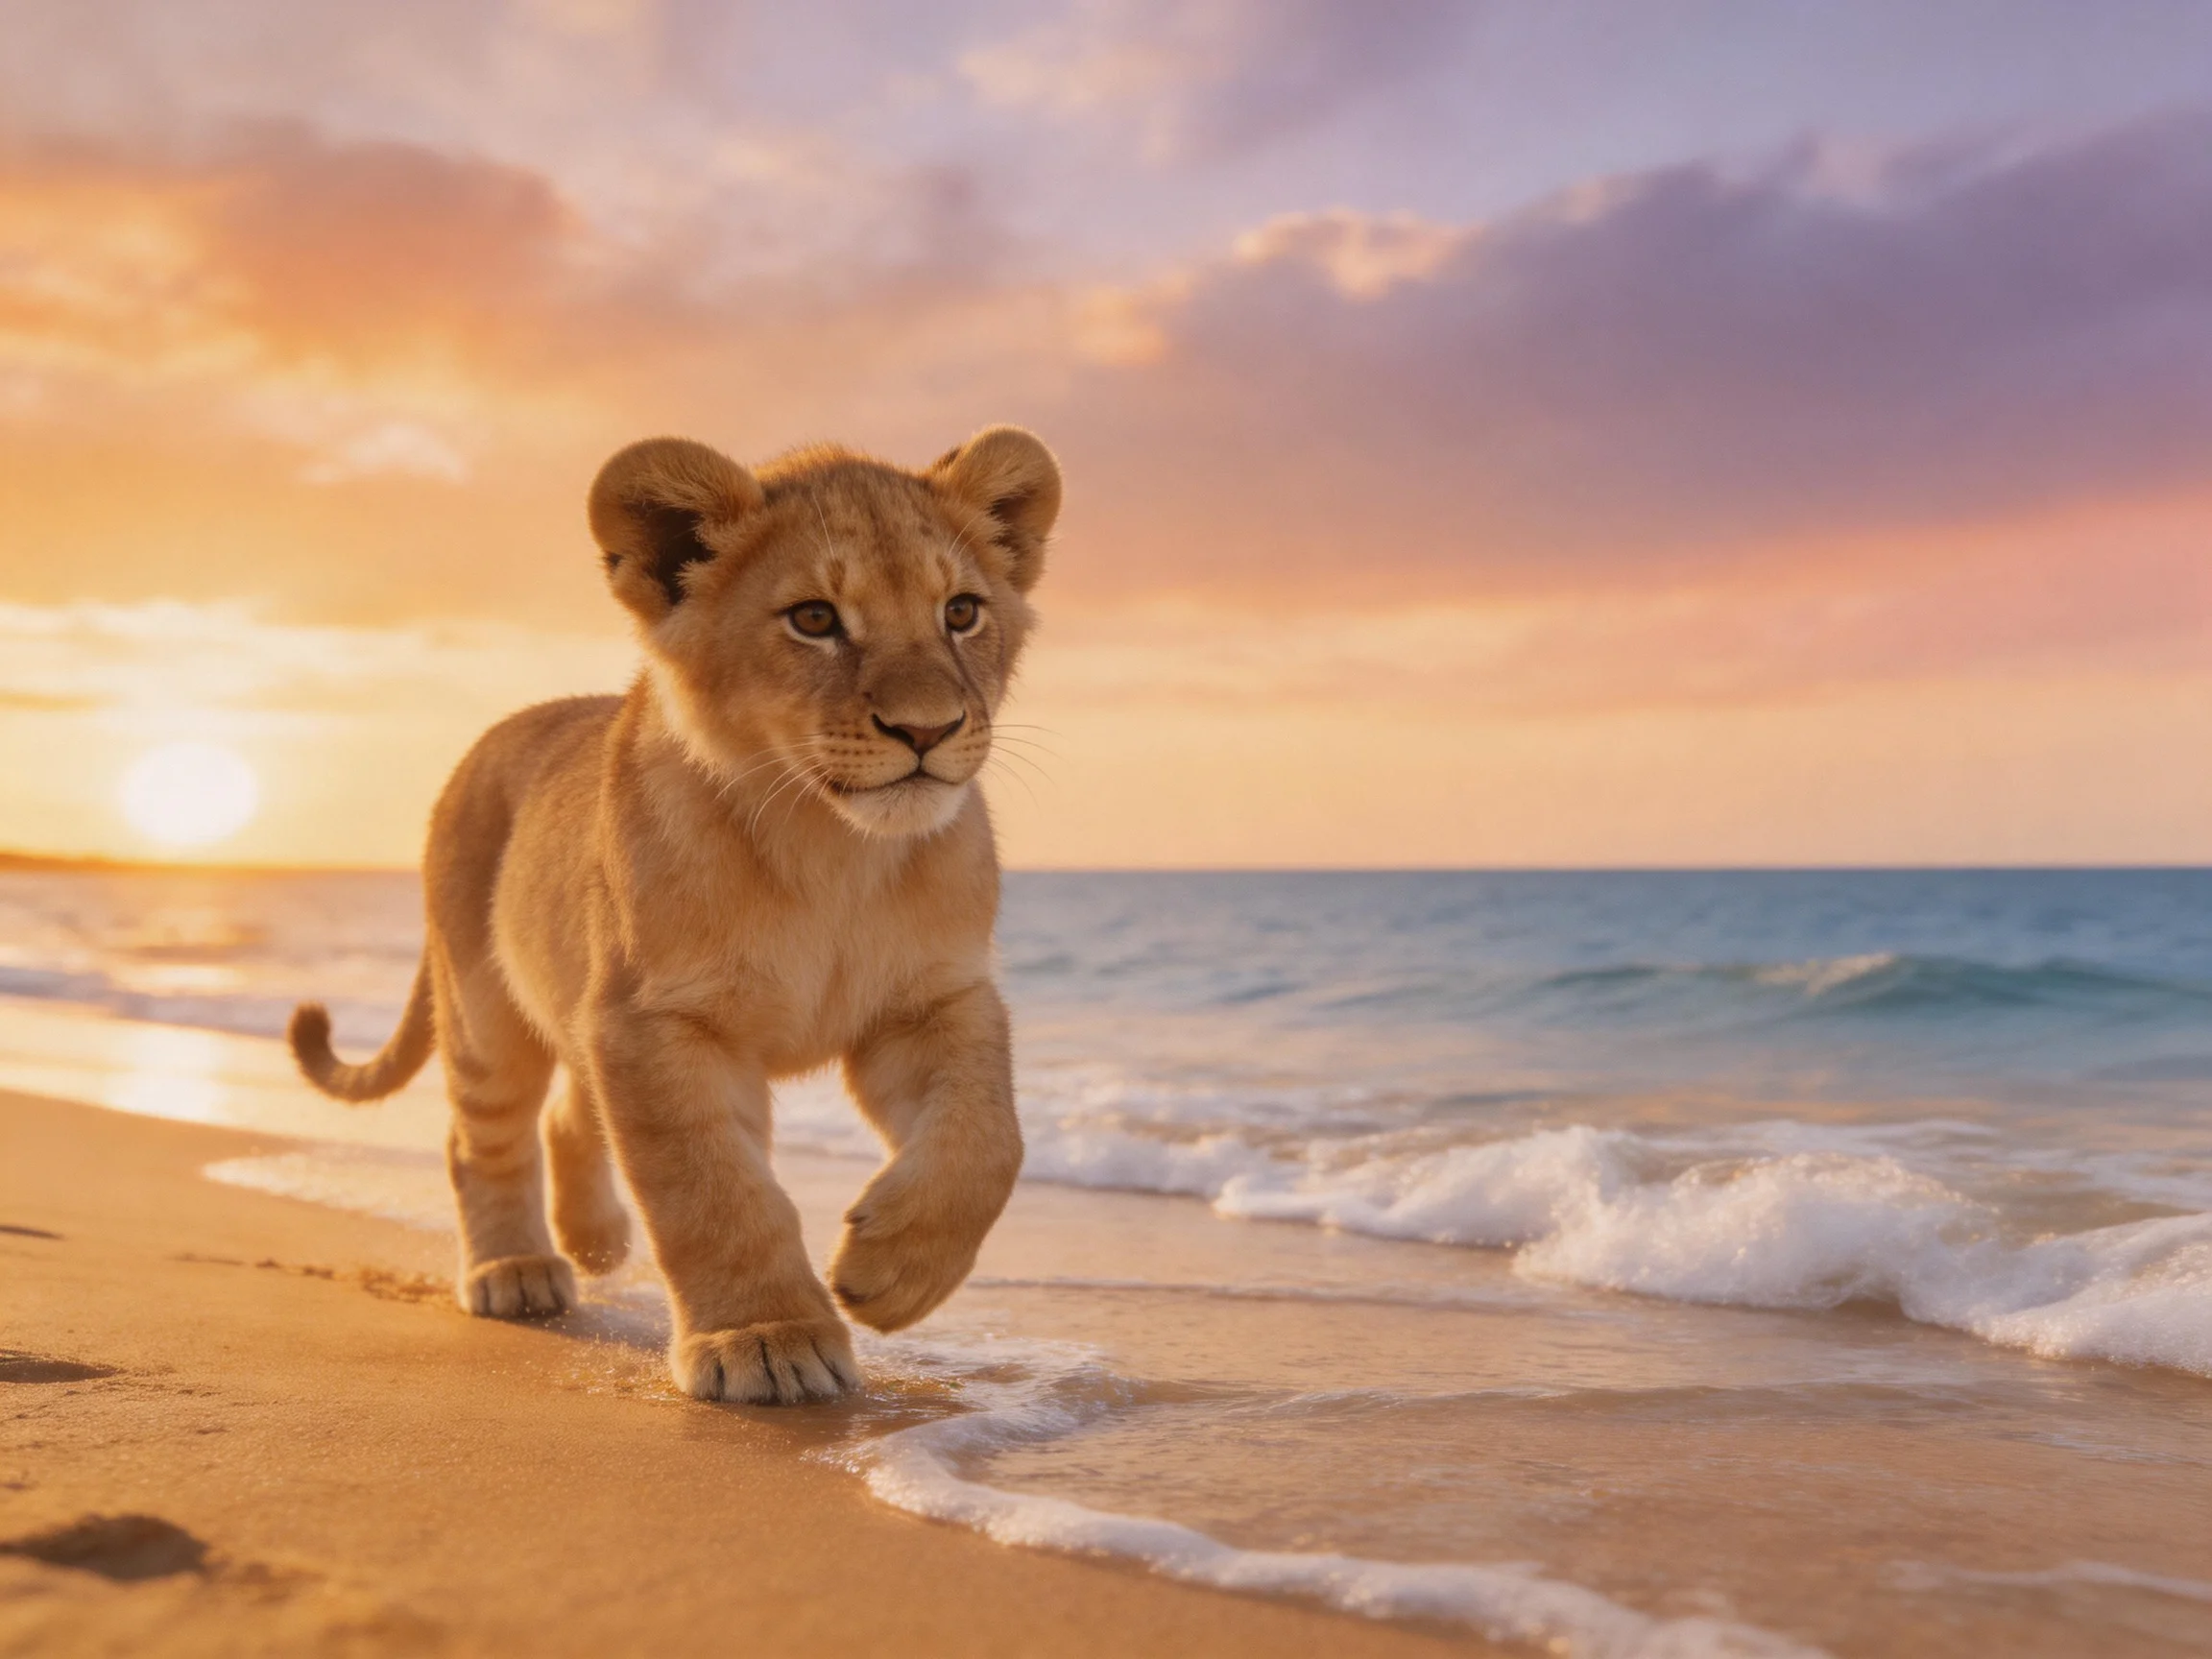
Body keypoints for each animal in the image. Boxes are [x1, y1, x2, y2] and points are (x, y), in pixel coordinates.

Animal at [284, 426, 1059, 1405]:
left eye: (961, 611)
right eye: (814, 619)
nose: (927, 730)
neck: (831, 848)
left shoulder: (935, 1000)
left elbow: (987, 1140)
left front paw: (889, 1275)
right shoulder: (658, 1023)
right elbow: (712, 1192)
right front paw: (766, 1340)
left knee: (569, 1113)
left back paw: (594, 1241)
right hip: (484, 1006)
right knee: (482, 1135)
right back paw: (517, 1271)